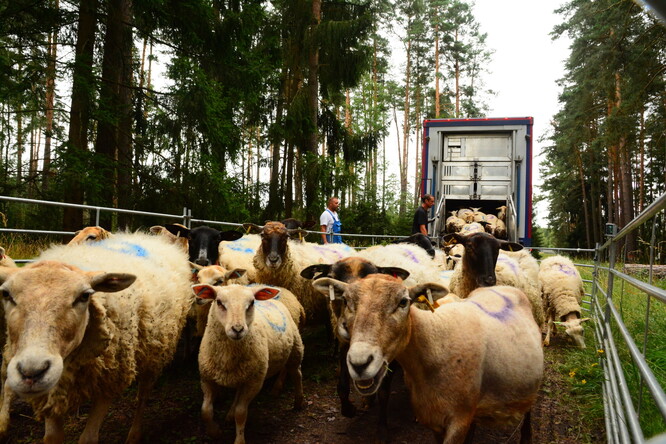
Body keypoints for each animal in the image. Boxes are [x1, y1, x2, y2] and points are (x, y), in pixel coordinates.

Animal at [0, 234, 192, 442]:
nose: (31, 373)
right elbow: (52, 437)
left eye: (84, 296)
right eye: (6, 294)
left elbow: (89, 438)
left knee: (143, 395)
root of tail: (150, 237)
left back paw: (134, 434)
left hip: (156, 352)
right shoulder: (50, 391)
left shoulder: (110, 380)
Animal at [192, 282, 304, 442]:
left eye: (251, 303)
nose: (237, 329)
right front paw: (215, 432)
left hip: (295, 350)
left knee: (296, 374)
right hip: (243, 372)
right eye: (219, 302)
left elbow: (241, 413)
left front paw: (239, 440)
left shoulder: (254, 382)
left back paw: (298, 401)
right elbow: (205, 411)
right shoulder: (206, 378)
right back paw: (230, 414)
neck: (227, 356)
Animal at [314, 276, 544, 442]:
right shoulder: (433, 418)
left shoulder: (459, 420)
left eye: (403, 302)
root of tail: (503, 286)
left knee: (528, 412)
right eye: (346, 301)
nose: (359, 363)